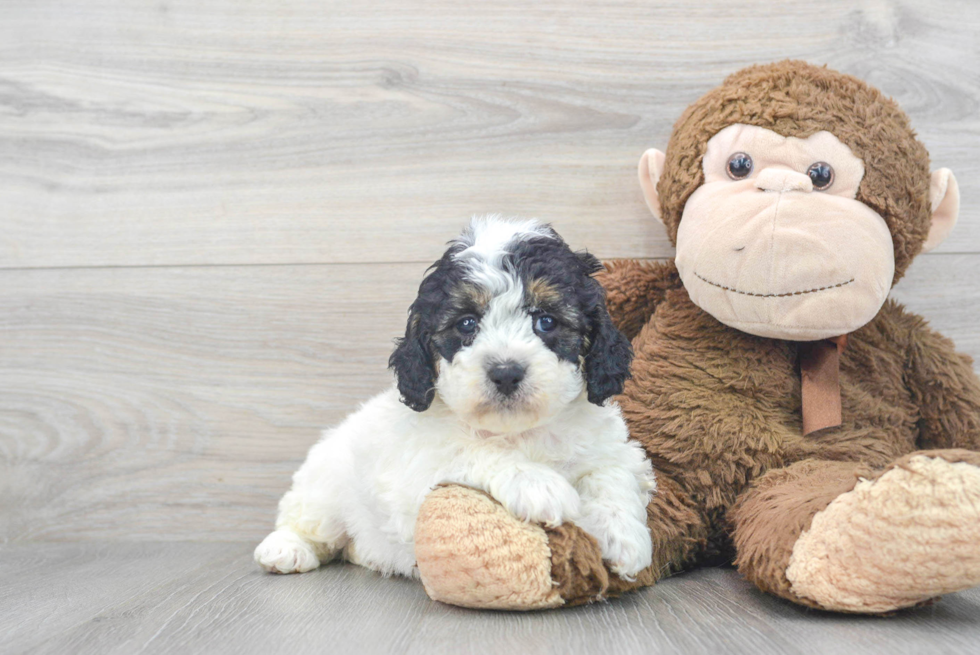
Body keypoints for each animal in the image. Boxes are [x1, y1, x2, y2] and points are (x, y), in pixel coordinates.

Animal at [253, 219, 656, 580]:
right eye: (466, 324)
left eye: (546, 321)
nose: (506, 372)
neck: (517, 431)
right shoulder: (420, 469)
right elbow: (473, 450)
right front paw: (538, 484)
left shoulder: (612, 450)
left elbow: (612, 474)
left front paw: (624, 537)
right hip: (323, 487)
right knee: (305, 521)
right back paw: (285, 549)